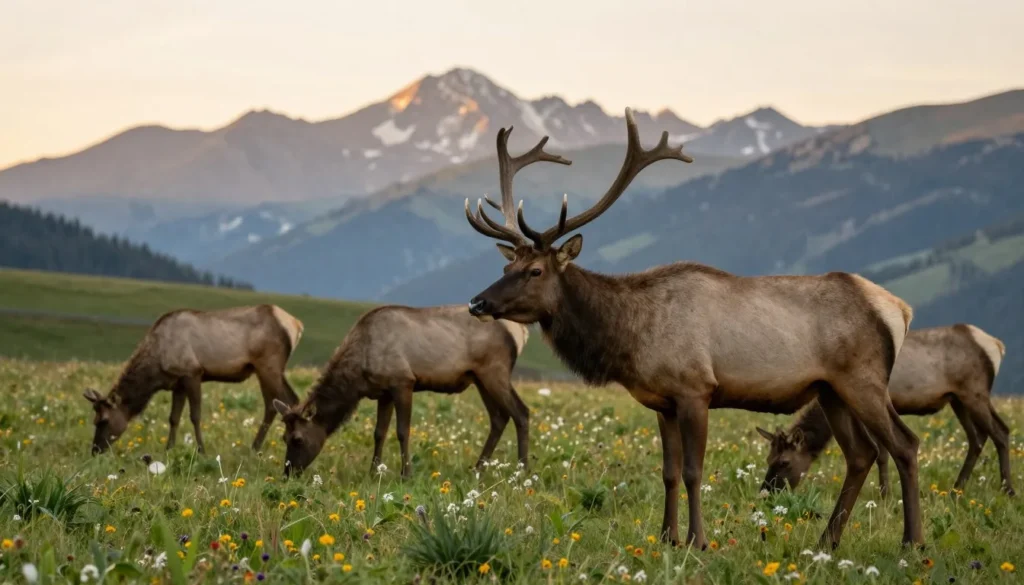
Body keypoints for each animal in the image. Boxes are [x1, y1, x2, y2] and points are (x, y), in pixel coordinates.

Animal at [82, 304, 303, 455]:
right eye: (94, 419)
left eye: (103, 420)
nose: (95, 450)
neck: (157, 366)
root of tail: (296, 325)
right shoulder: (177, 384)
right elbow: (173, 418)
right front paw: (168, 449)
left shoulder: (193, 373)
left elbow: (195, 416)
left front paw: (201, 450)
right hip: (264, 369)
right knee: (279, 403)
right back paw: (259, 447)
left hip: (269, 366)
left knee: (284, 402)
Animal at [271, 304, 530, 479]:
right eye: (283, 437)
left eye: (298, 439)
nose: (287, 474)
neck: (358, 375)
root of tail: (521, 332)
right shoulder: (383, 392)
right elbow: (379, 432)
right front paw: (373, 472)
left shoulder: (403, 382)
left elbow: (402, 431)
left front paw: (406, 474)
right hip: (480, 378)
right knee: (499, 417)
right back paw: (477, 469)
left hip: (495, 371)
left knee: (521, 412)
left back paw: (523, 472)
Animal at [462, 109, 923, 550]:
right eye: (506, 267)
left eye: (535, 270)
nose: (477, 302)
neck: (629, 338)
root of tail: (900, 310)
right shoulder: (662, 402)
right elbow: (668, 472)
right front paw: (667, 537)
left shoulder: (696, 389)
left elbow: (693, 471)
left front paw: (698, 541)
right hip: (831, 389)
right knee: (861, 454)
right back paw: (828, 539)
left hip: (864, 380)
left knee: (904, 444)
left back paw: (912, 541)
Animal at [757, 324, 1013, 497]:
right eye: (768, 459)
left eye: (784, 462)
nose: (766, 493)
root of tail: (998, 346)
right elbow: (883, 454)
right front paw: (885, 492)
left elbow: (881, 453)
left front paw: (885, 494)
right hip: (958, 399)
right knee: (977, 437)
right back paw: (957, 487)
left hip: (975, 392)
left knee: (1000, 431)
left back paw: (1007, 489)